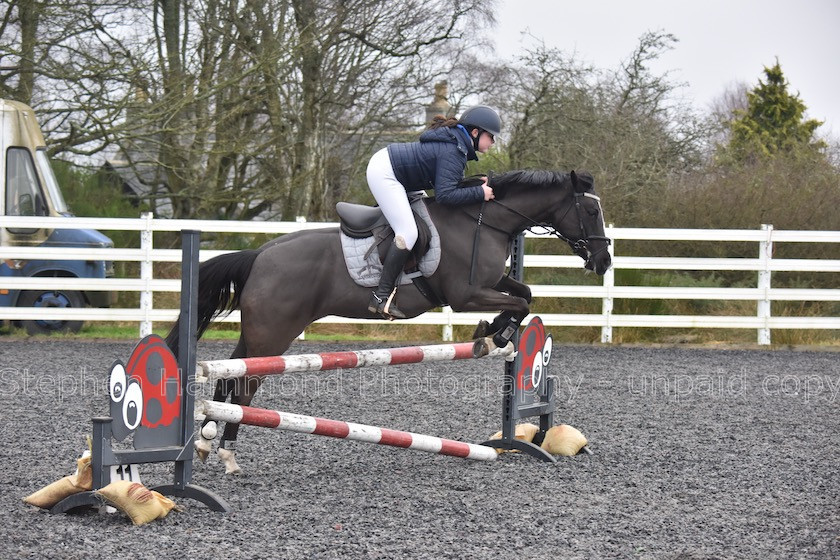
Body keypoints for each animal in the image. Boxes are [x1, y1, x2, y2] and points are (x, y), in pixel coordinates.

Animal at [164, 170, 612, 472]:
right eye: (591, 209)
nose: (604, 261)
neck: (482, 220)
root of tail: (259, 255)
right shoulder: (464, 293)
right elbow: (517, 303)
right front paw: (494, 333)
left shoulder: (490, 282)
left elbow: (524, 294)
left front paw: (493, 332)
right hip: (273, 335)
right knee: (244, 388)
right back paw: (226, 453)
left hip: (258, 335)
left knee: (227, 376)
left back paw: (206, 443)